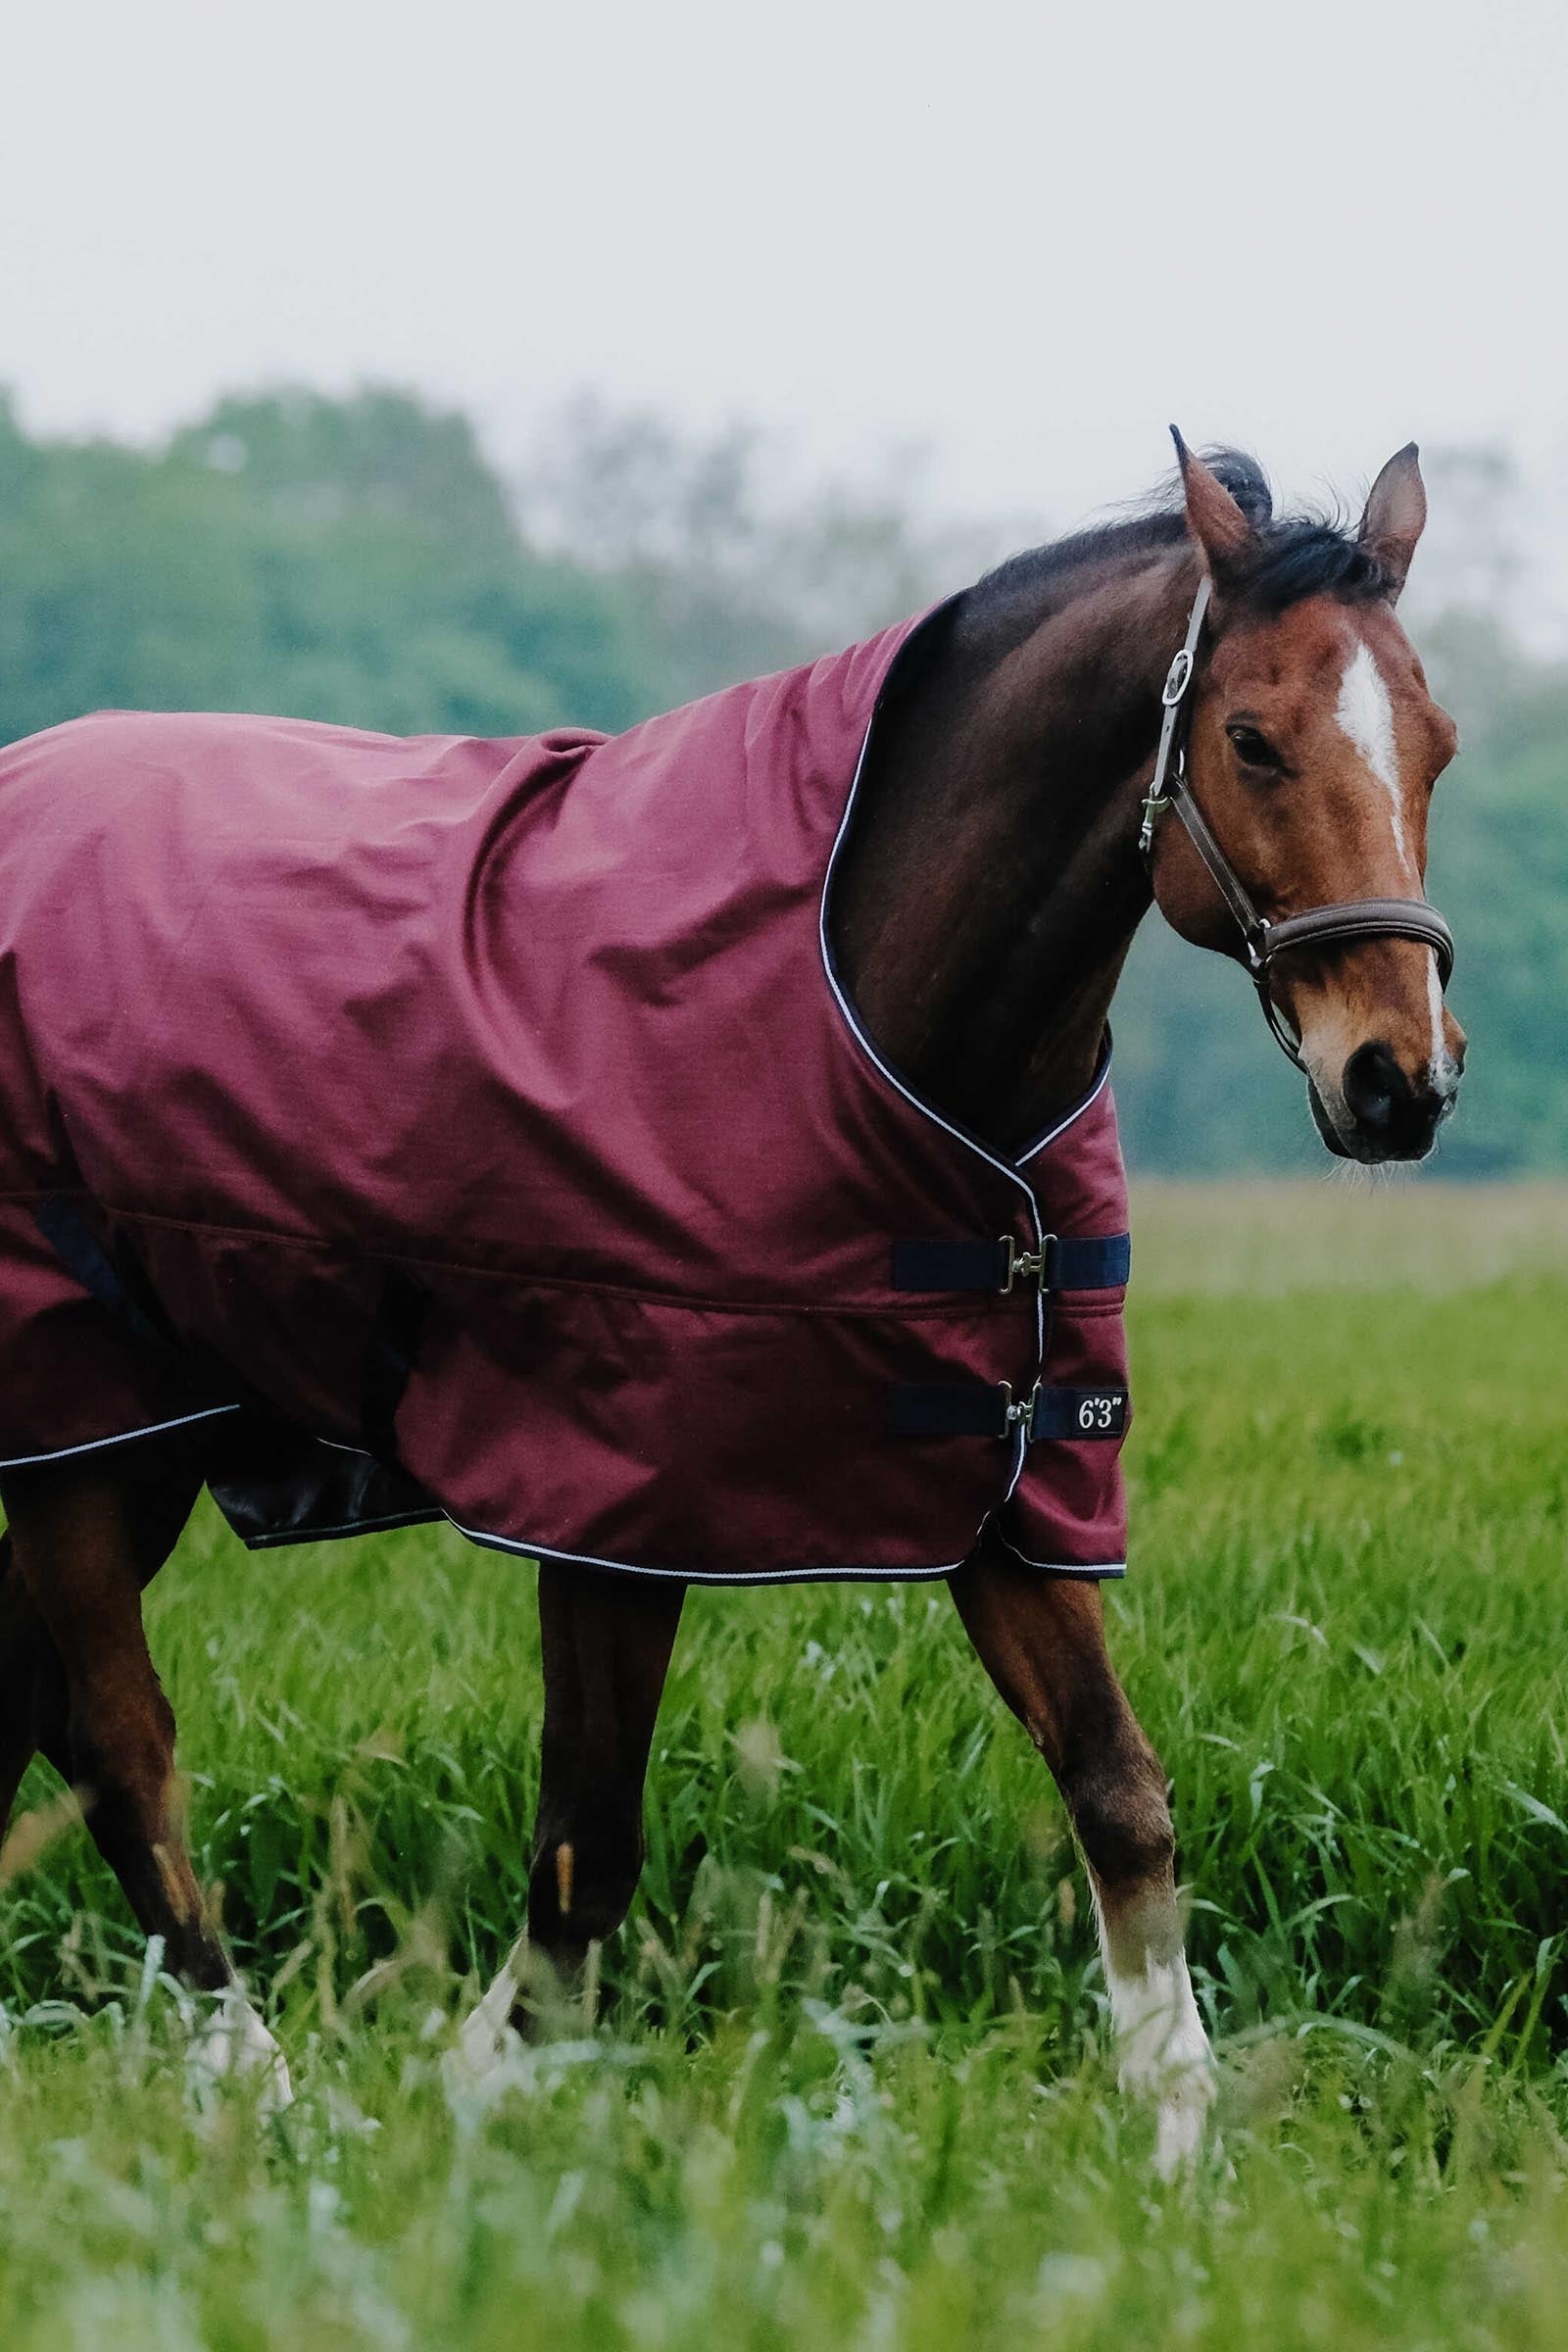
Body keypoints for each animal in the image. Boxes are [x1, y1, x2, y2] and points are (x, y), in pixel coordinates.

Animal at [0, 434, 1462, 2170]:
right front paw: (472, 2098)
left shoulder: (999, 1478)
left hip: (136, 1442)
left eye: (1437, 744)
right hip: (79, 1426)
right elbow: (587, 1846)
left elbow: (1121, 1791)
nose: (1399, 1081)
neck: (876, 1020)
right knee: (119, 1740)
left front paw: (1175, 2141)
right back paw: (253, 2078)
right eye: (1249, 738)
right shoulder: (614, 1498)